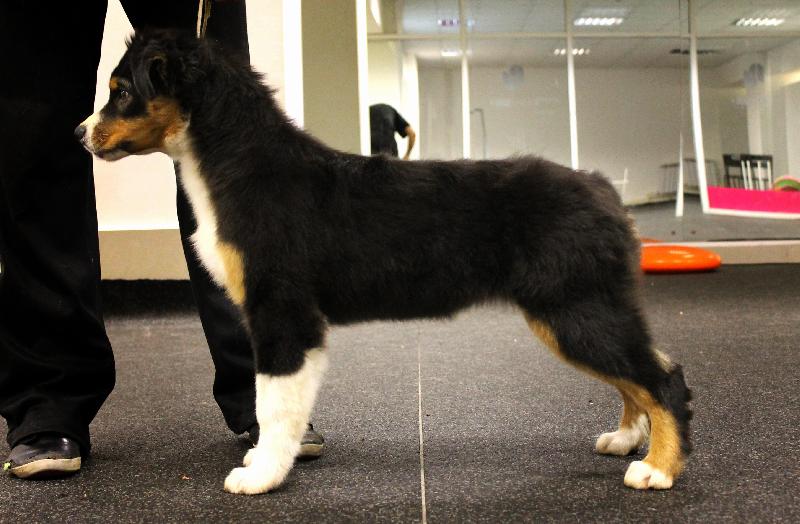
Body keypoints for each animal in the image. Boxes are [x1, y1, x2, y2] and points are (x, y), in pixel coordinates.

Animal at [76, 29, 692, 495]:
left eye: (121, 91)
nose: (79, 133)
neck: (238, 166)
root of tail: (603, 189)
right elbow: (271, 399)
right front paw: (262, 464)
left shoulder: (283, 309)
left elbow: (273, 402)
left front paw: (261, 476)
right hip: (581, 308)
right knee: (641, 372)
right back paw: (625, 440)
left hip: (574, 307)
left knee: (663, 376)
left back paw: (657, 469)